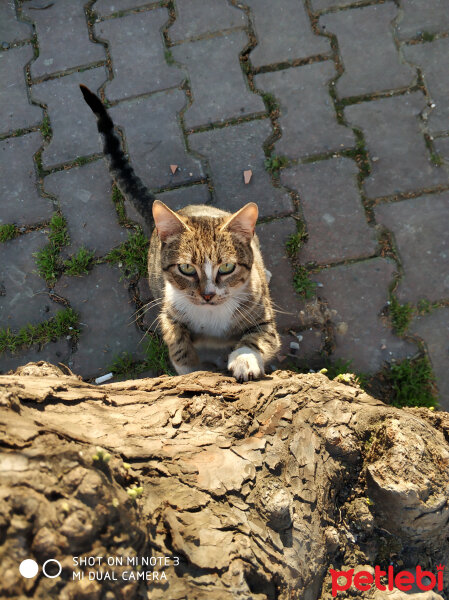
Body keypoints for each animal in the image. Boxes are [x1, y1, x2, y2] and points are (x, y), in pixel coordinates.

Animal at [79, 84, 278, 382]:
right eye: (185, 268)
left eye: (227, 267)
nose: (207, 295)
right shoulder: (168, 312)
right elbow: (177, 342)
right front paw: (191, 370)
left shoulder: (264, 315)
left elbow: (261, 337)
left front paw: (245, 359)